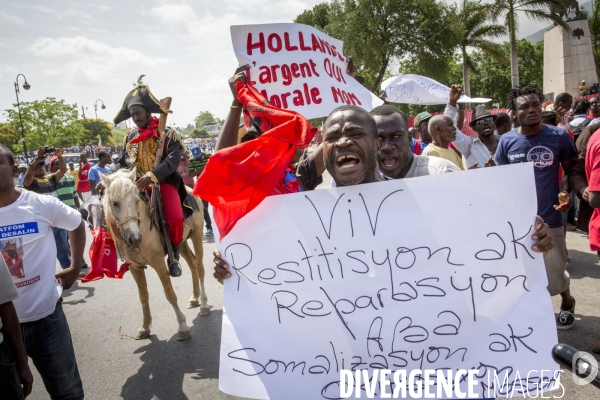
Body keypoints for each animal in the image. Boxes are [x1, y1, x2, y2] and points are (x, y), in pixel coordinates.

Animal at [99, 169, 211, 340]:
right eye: (114, 203)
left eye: (136, 200)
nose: (135, 239)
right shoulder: (134, 267)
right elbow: (143, 296)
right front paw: (145, 327)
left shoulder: (158, 263)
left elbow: (170, 293)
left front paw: (182, 326)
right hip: (181, 242)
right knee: (192, 264)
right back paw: (194, 298)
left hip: (197, 234)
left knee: (199, 266)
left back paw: (204, 304)